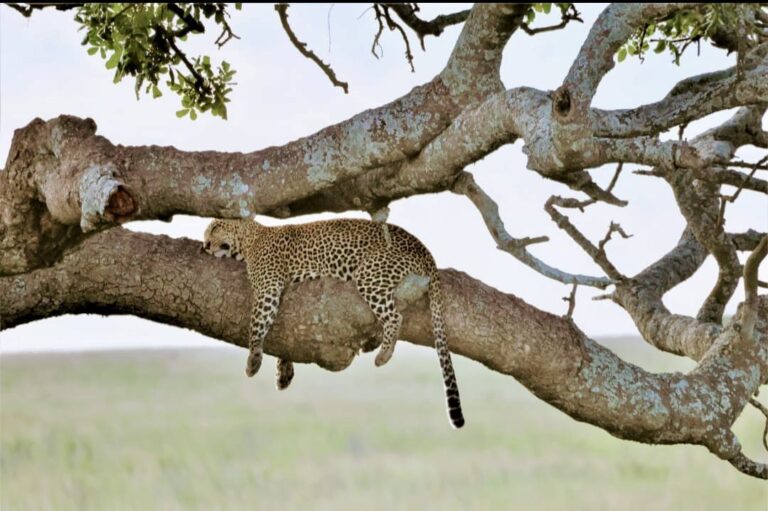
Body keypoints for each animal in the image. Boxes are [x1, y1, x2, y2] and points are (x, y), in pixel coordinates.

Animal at [202, 217, 465, 428]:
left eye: (214, 228)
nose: (204, 245)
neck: (250, 240)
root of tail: (424, 249)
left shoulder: (268, 288)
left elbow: (256, 324)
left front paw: (253, 361)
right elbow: (282, 337)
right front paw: (283, 372)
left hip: (369, 275)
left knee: (394, 316)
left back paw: (383, 354)